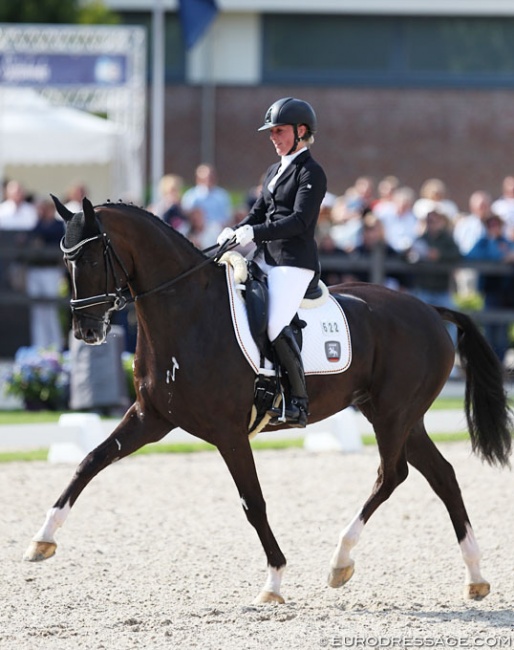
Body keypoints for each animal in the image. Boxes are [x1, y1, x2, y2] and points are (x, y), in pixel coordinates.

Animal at [22, 196, 510, 604]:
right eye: (64, 259)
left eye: (89, 257)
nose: (87, 331)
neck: (187, 314)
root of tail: (429, 310)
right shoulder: (151, 418)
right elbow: (90, 461)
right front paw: (42, 539)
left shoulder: (229, 433)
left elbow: (252, 503)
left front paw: (274, 581)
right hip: (400, 416)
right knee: (442, 476)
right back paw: (475, 577)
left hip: (393, 414)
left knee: (391, 475)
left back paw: (340, 561)